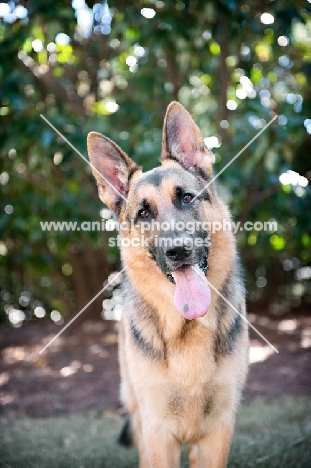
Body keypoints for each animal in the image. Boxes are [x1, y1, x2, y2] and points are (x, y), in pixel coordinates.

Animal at [87, 102, 249, 468]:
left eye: (187, 198)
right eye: (143, 213)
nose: (178, 250)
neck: (187, 328)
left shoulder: (218, 431)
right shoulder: (158, 432)